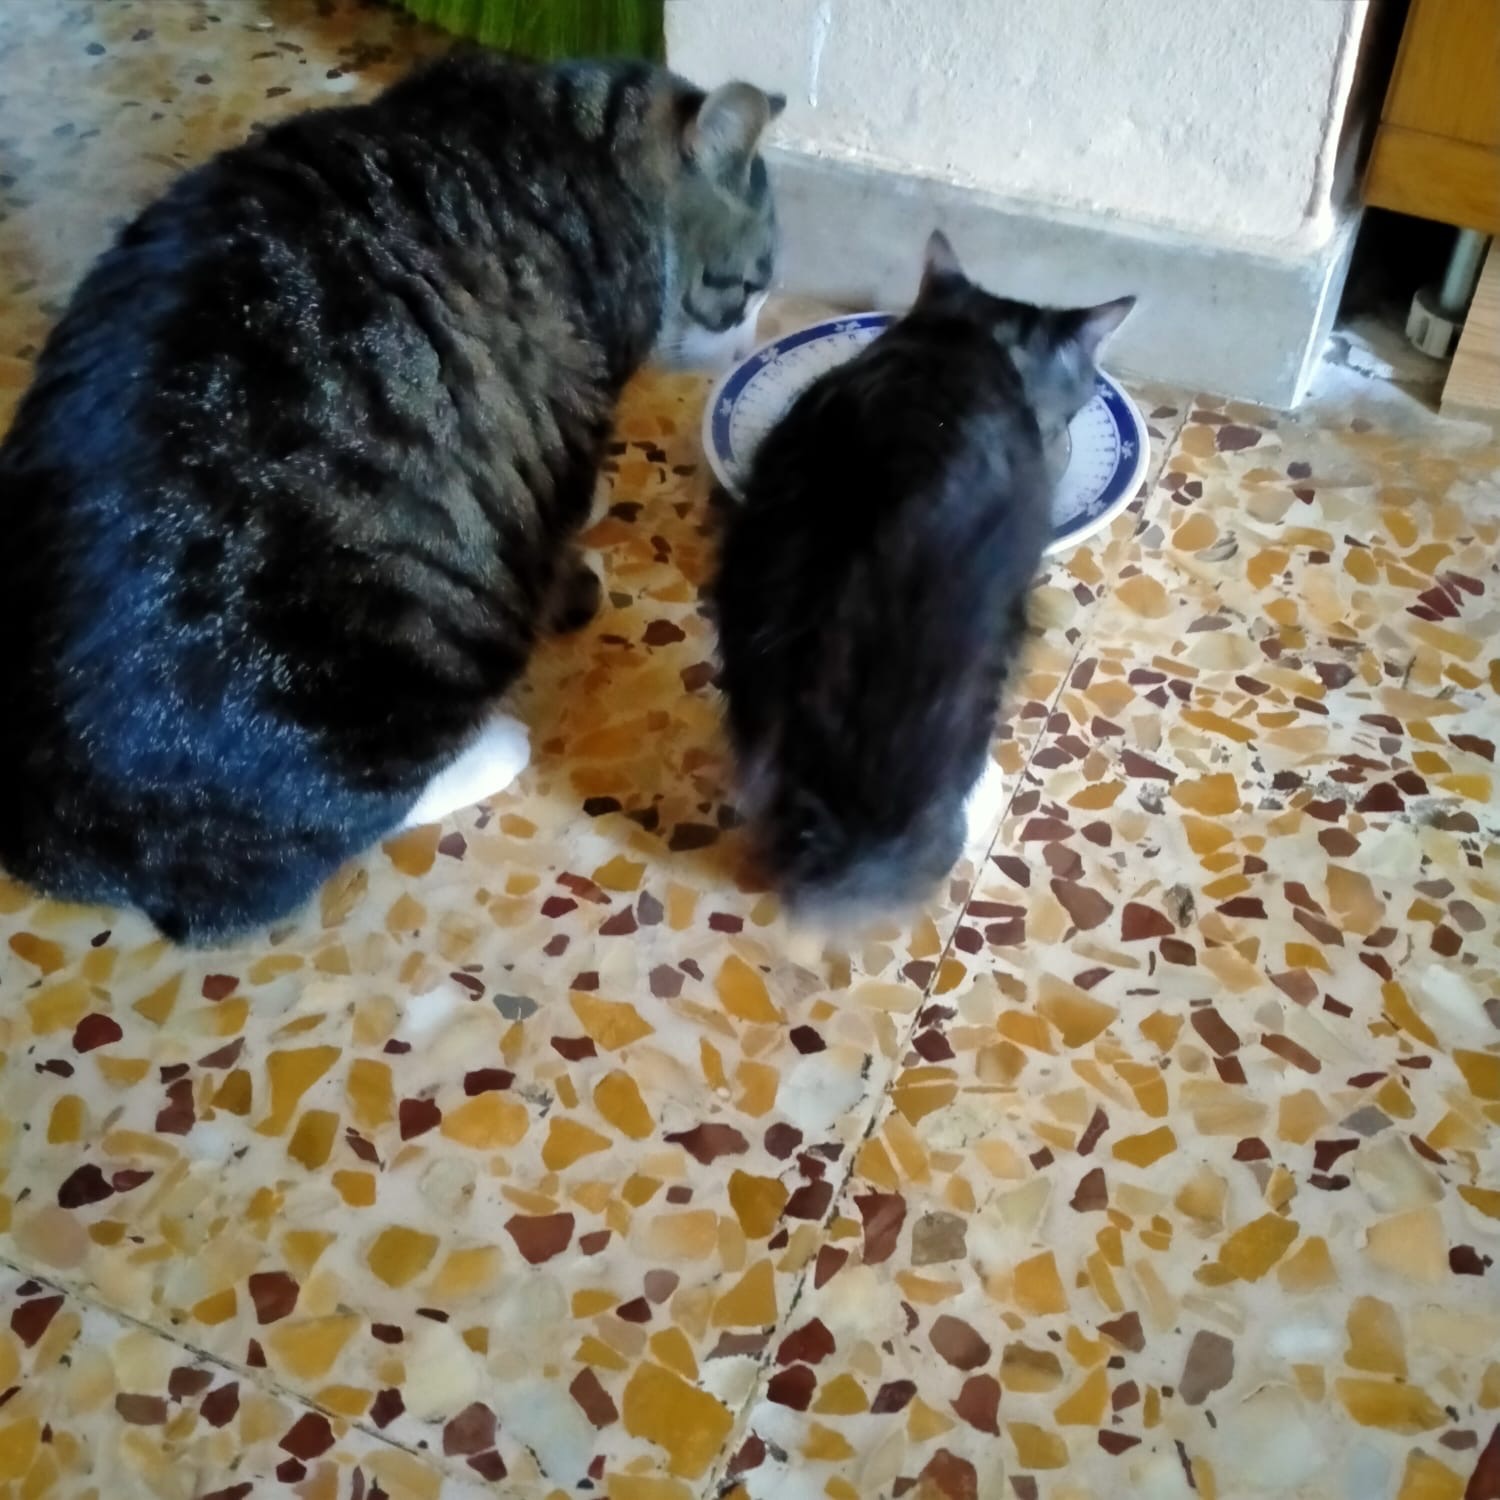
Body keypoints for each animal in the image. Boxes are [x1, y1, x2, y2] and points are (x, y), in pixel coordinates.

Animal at [0, 51, 783, 944]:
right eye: (747, 286)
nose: (748, 344)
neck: (562, 134)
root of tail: (53, 830)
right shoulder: (574, 395)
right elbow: (564, 502)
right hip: (409, 637)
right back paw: (491, 749)